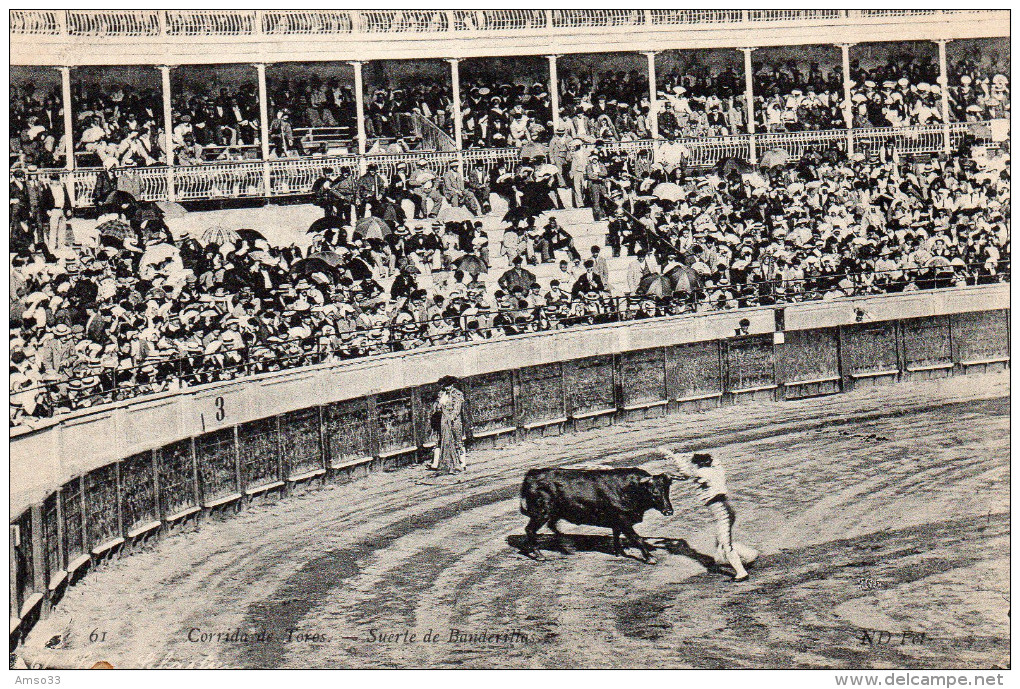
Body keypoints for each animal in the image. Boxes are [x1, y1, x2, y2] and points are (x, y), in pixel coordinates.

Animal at [522, 465, 673, 563]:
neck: (630, 489)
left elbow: (616, 535)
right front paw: (650, 557)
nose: (669, 511)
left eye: (667, 490)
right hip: (541, 513)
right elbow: (637, 537)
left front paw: (619, 552)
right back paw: (539, 554)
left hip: (554, 513)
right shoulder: (623, 519)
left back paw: (566, 546)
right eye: (654, 492)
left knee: (552, 526)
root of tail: (531, 474)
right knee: (530, 530)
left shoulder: (617, 521)